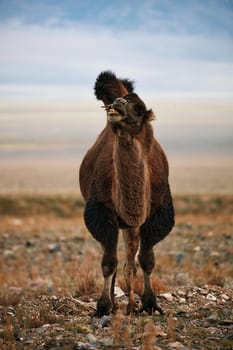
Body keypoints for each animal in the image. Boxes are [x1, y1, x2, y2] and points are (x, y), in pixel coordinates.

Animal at [78, 71, 175, 318]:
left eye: (139, 107)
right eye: (115, 103)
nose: (118, 103)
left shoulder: (157, 214)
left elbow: (147, 259)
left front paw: (150, 304)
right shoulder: (102, 214)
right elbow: (109, 262)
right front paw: (103, 306)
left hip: (131, 224)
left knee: (131, 257)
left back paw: (131, 304)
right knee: (118, 257)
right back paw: (117, 304)